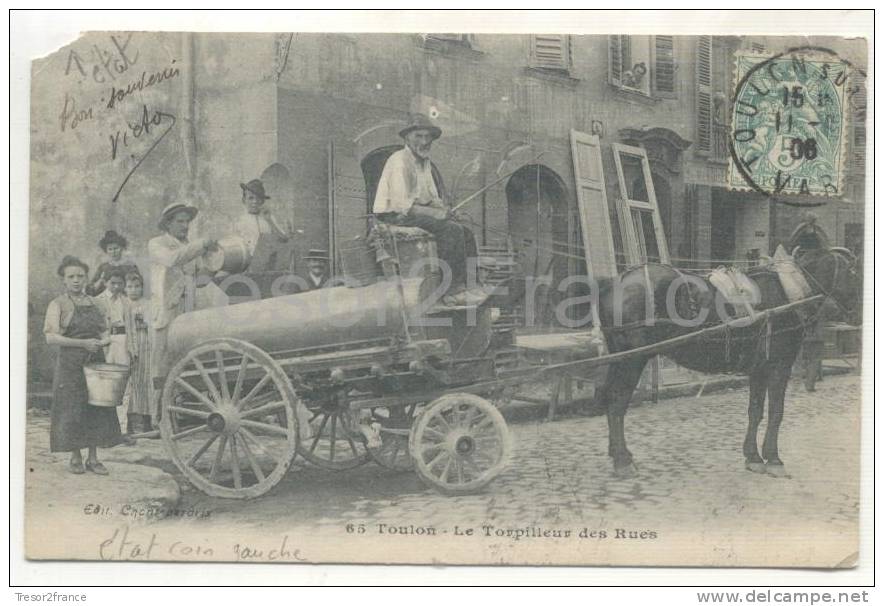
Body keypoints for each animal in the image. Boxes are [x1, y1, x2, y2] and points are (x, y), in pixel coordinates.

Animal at [592, 247, 860, 480]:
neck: (788, 291)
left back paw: (619, 454)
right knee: (617, 401)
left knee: (608, 397)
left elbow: (755, 411)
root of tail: (615, 281)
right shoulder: (779, 367)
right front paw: (774, 459)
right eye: (853, 273)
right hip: (632, 359)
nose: (857, 317)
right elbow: (776, 412)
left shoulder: (759, 369)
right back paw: (622, 461)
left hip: (620, 358)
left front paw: (753, 457)